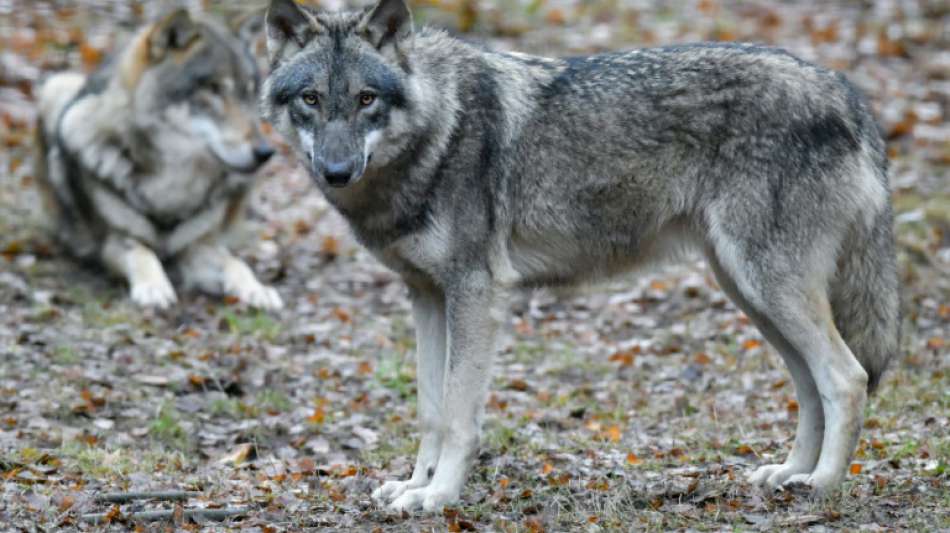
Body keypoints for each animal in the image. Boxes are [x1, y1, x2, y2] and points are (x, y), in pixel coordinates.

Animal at [34, 8, 286, 310]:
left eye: (248, 91)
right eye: (213, 88)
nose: (265, 152)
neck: (172, 185)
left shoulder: (196, 247)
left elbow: (235, 263)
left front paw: (256, 289)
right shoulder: (115, 241)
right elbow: (142, 253)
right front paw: (154, 287)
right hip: (56, 87)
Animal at [260, 0, 900, 512]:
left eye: (366, 99)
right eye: (311, 99)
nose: (336, 171)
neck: (438, 132)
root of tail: (847, 94)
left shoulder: (477, 293)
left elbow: (460, 414)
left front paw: (439, 497)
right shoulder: (426, 296)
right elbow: (430, 410)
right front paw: (414, 486)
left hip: (768, 287)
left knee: (847, 378)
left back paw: (822, 486)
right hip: (752, 293)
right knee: (812, 386)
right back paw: (789, 473)